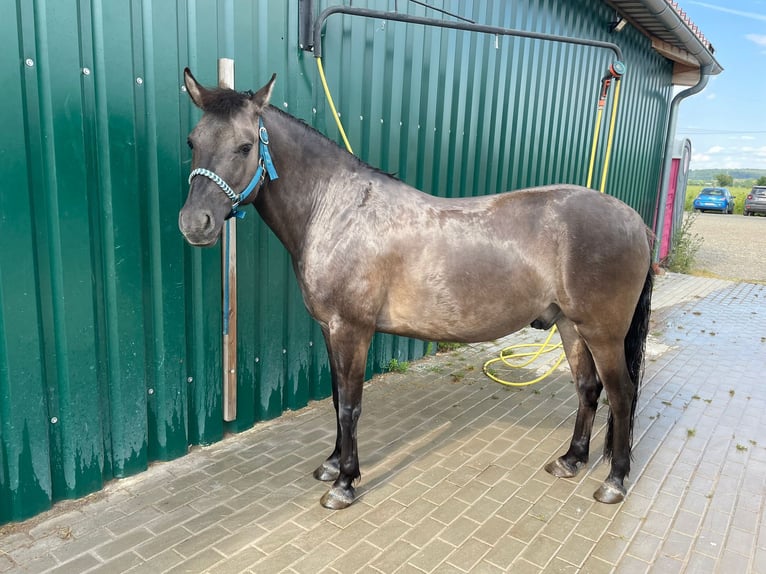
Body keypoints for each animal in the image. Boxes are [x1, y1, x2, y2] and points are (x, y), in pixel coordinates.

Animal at [179, 69, 653, 510]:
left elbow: (350, 405)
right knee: (588, 388)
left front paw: (344, 483)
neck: (336, 211)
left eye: (245, 146)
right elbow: (335, 398)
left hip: (602, 333)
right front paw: (331, 464)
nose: (195, 224)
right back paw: (571, 460)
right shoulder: (330, 330)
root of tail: (634, 220)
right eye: (192, 141)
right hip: (571, 326)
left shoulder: (352, 330)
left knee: (622, 394)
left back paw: (613, 482)